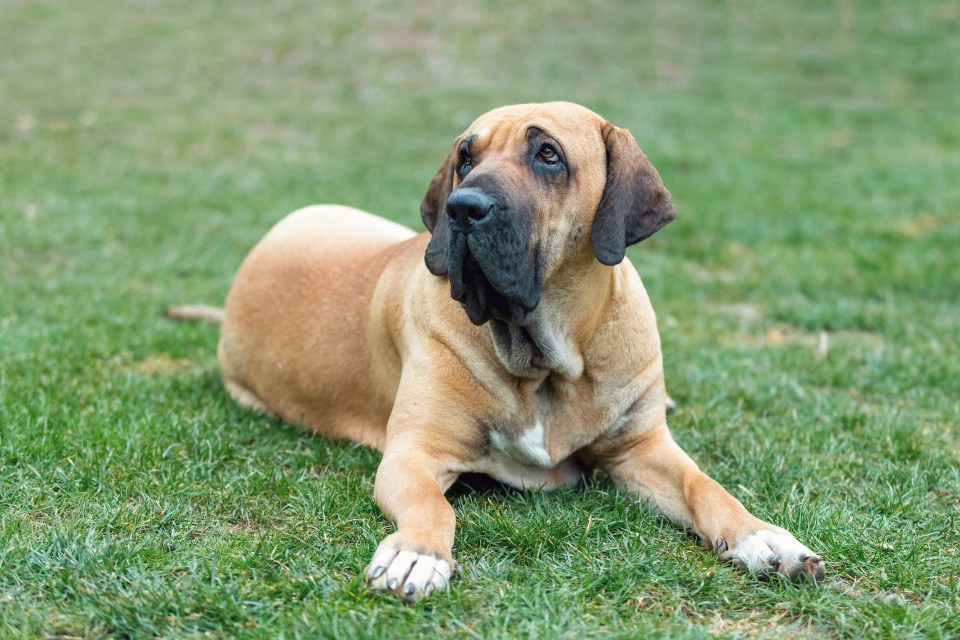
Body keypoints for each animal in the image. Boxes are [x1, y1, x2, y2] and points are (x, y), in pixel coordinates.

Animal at [165, 102, 824, 604]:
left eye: (548, 154)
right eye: (466, 157)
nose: (462, 208)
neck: (547, 358)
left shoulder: (642, 449)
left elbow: (705, 486)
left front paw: (764, 538)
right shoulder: (413, 454)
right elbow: (433, 506)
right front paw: (416, 554)